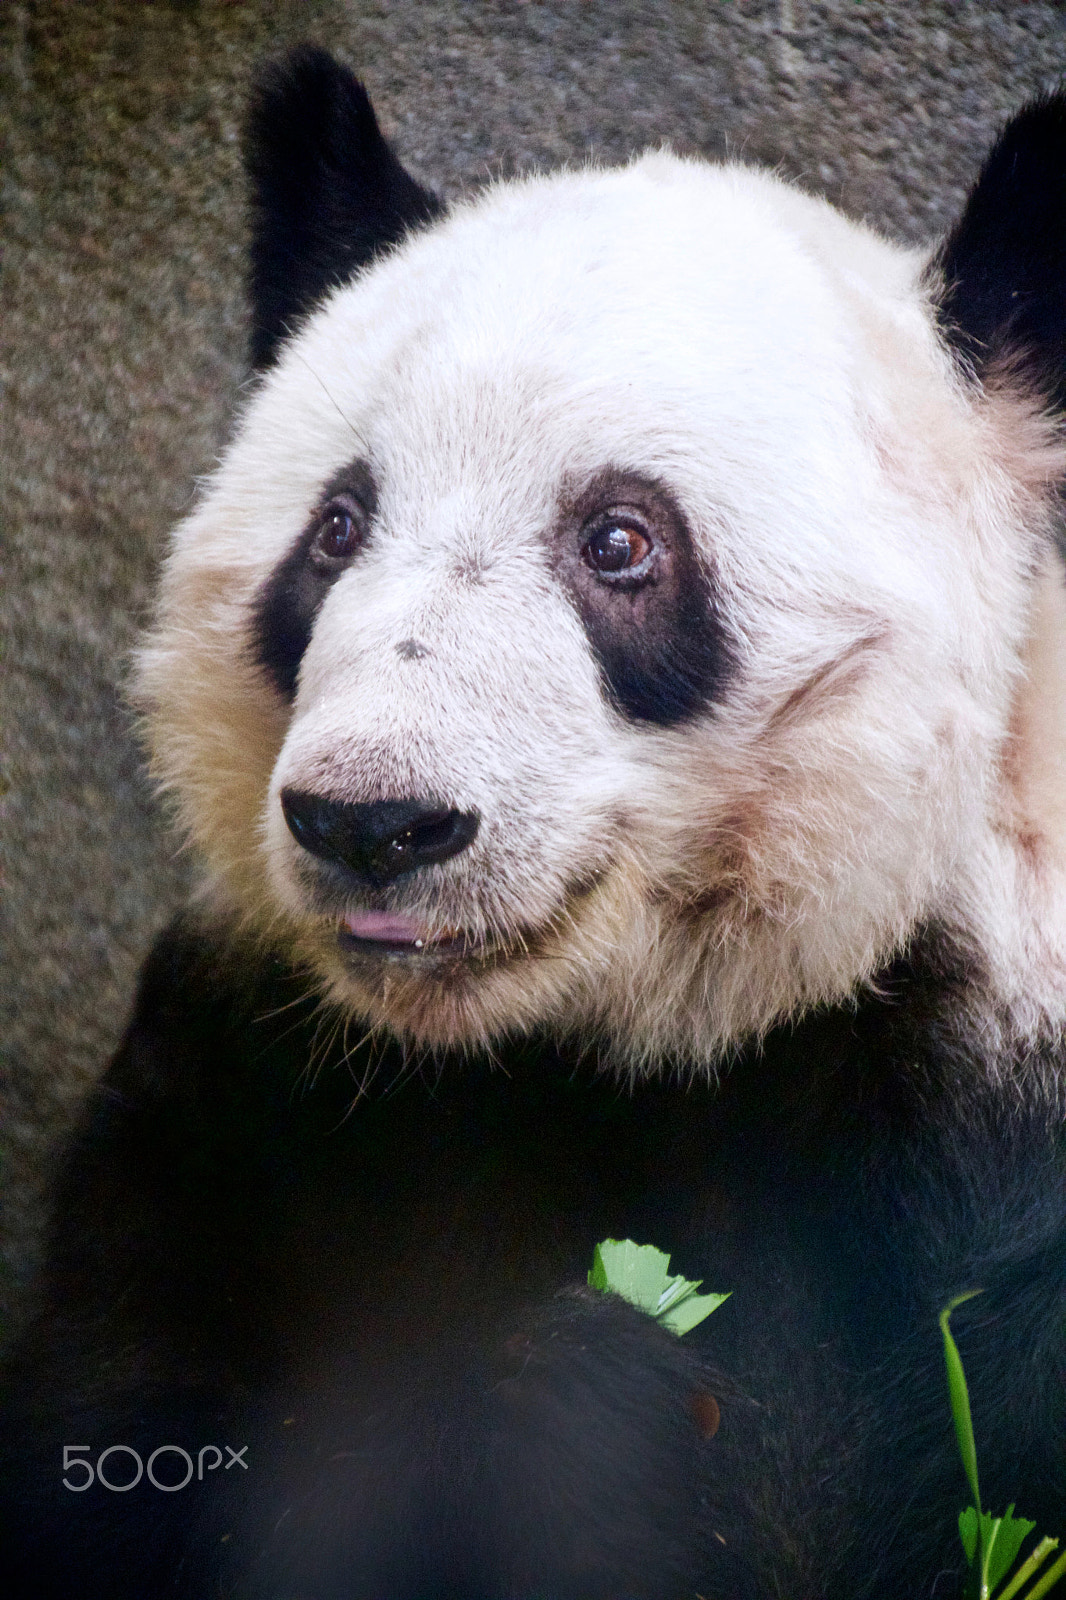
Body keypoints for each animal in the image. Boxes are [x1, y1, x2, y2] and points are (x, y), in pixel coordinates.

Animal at [3, 43, 1066, 1600]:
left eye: (620, 541)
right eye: (336, 529)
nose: (374, 823)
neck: (581, 1048)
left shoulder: (975, 1114)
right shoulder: (237, 1088)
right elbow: (119, 1454)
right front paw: (561, 1419)